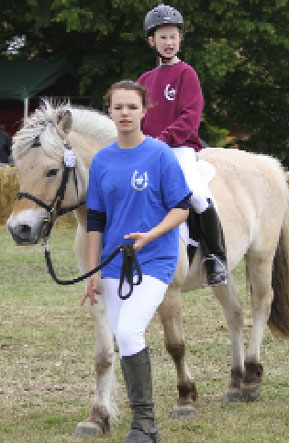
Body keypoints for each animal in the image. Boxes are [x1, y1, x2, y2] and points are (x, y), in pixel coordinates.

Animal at [6, 101, 288, 438]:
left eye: (52, 170)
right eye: (20, 170)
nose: (19, 230)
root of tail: (264, 162)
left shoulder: (169, 292)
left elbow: (175, 345)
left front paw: (185, 399)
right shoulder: (99, 295)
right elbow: (103, 356)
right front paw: (97, 417)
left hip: (260, 256)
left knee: (261, 303)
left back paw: (252, 379)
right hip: (221, 271)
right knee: (234, 312)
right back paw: (235, 383)